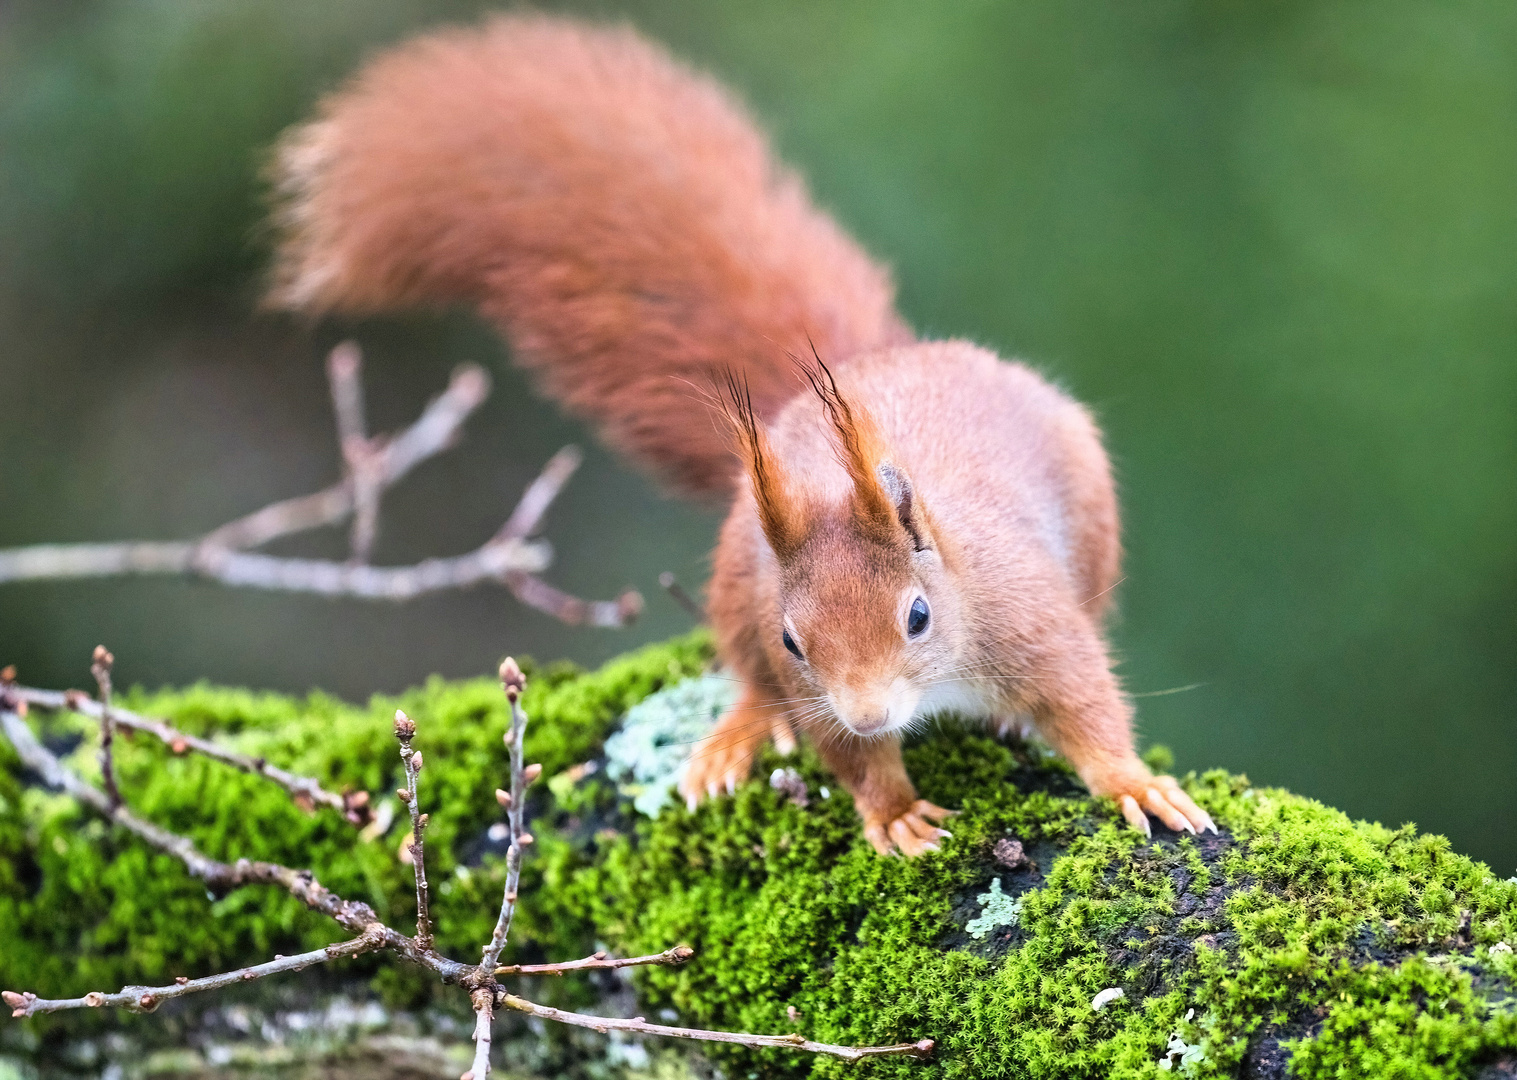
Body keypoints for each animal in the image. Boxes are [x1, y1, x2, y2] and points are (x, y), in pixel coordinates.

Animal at [266, 10, 1213, 849]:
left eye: (916, 617)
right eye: (796, 637)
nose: (869, 709)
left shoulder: (1035, 624)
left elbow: (1087, 706)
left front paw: (1133, 784)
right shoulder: (800, 673)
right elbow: (844, 753)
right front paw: (891, 808)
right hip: (732, 575)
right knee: (747, 674)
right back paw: (739, 734)